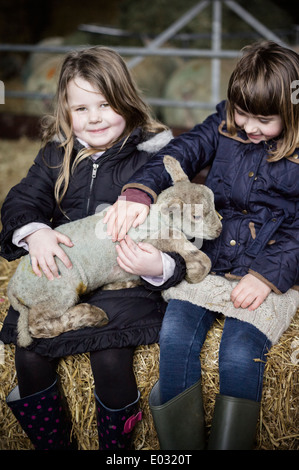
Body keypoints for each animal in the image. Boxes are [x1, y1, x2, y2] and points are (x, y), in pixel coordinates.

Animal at [7, 156, 223, 346]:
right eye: (196, 216)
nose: (219, 230)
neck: (158, 217)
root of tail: (12, 286)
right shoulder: (148, 239)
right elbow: (177, 239)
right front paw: (197, 272)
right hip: (56, 292)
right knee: (37, 324)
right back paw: (92, 315)